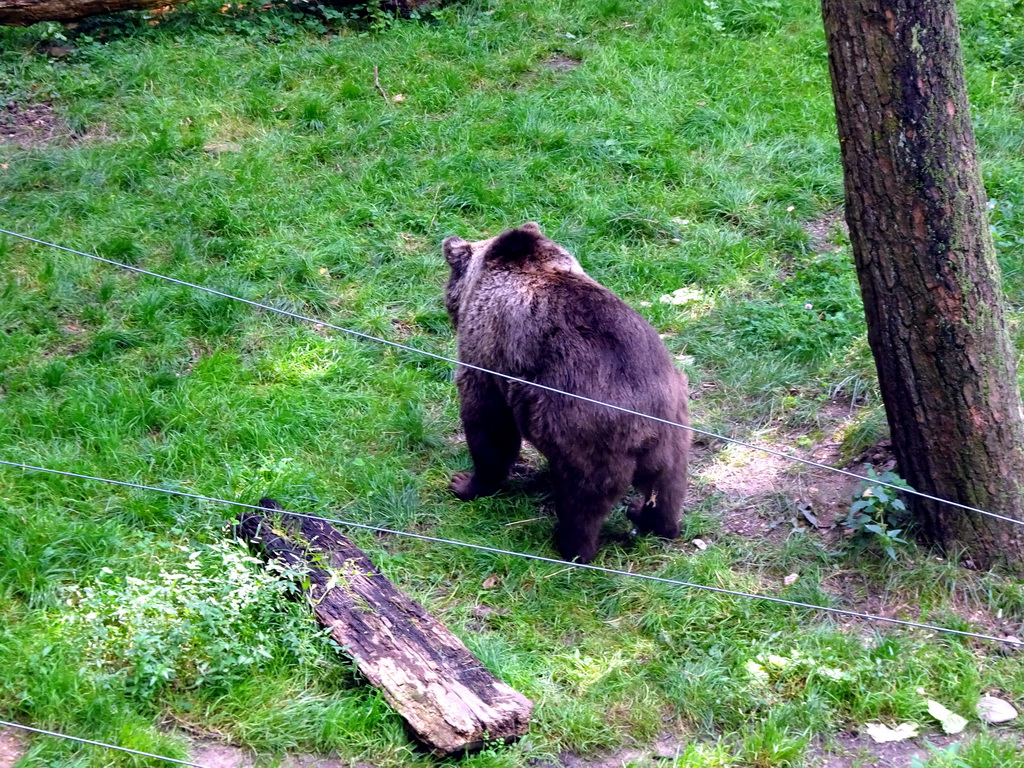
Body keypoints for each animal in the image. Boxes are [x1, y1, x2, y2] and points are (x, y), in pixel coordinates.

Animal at [444, 222, 692, 565]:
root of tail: (646, 424)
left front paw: (466, 483)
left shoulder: (489, 354)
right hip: (676, 424)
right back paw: (649, 518)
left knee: (582, 500)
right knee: (668, 488)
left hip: (583, 431)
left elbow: (489, 425)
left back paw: (569, 547)